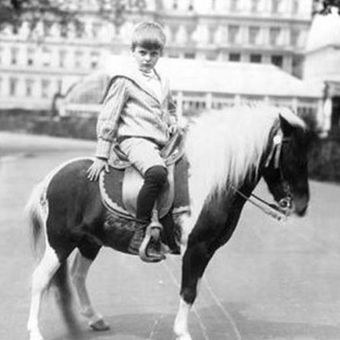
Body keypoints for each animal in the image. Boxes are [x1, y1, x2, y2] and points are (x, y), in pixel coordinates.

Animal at [25, 105, 310, 338]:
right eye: (290, 152)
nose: (302, 204)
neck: (211, 183)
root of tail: (51, 178)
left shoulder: (206, 251)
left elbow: (193, 290)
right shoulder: (195, 249)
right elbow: (188, 291)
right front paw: (182, 332)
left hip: (89, 242)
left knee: (77, 276)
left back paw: (95, 319)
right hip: (60, 242)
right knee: (40, 278)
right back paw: (35, 331)